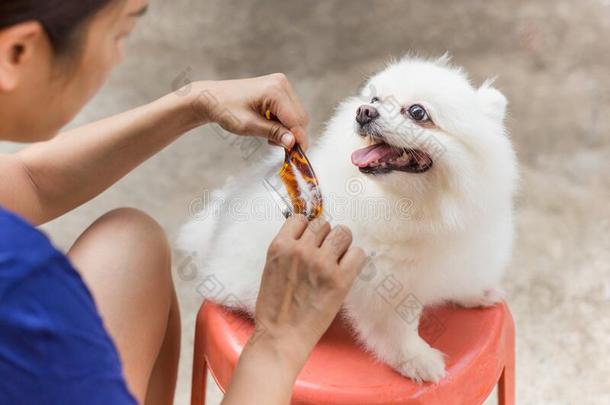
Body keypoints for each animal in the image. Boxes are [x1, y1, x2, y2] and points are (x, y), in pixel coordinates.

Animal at [177, 54, 516, 382]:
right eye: (376, 98)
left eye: (417, 112)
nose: (364, 111)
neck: (422, 206)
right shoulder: (382, 283)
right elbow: (397, 328)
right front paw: (416, 360)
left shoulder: (462, 247)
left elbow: (462, 275)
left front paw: (478, 292)